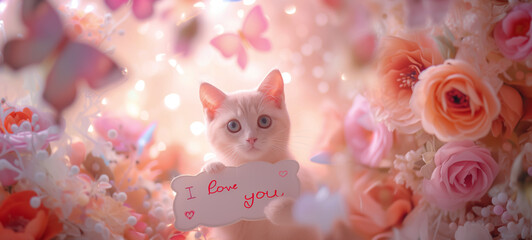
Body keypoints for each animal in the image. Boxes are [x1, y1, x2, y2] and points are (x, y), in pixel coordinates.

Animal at [197, 69, 318, 240]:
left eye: (264, 121)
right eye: (233, 125)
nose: (251, 138)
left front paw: (277, 208)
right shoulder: (231, 230)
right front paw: (211, 166)